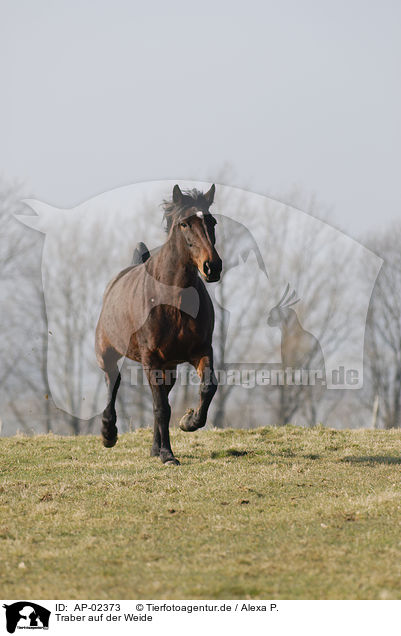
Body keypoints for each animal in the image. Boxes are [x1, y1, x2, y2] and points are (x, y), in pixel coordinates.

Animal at [96, 183, 222, 462]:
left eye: (212, 221)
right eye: (184, 224)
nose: (213, 267)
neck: (173, 300)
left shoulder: (201, 351)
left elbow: (207, 388)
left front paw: (188, 421)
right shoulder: (151, 358)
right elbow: (160, 408)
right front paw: (167, 455)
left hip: (169, 367)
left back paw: (155, 447)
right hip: (107, 351)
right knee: (113, 382)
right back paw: (109, 434)